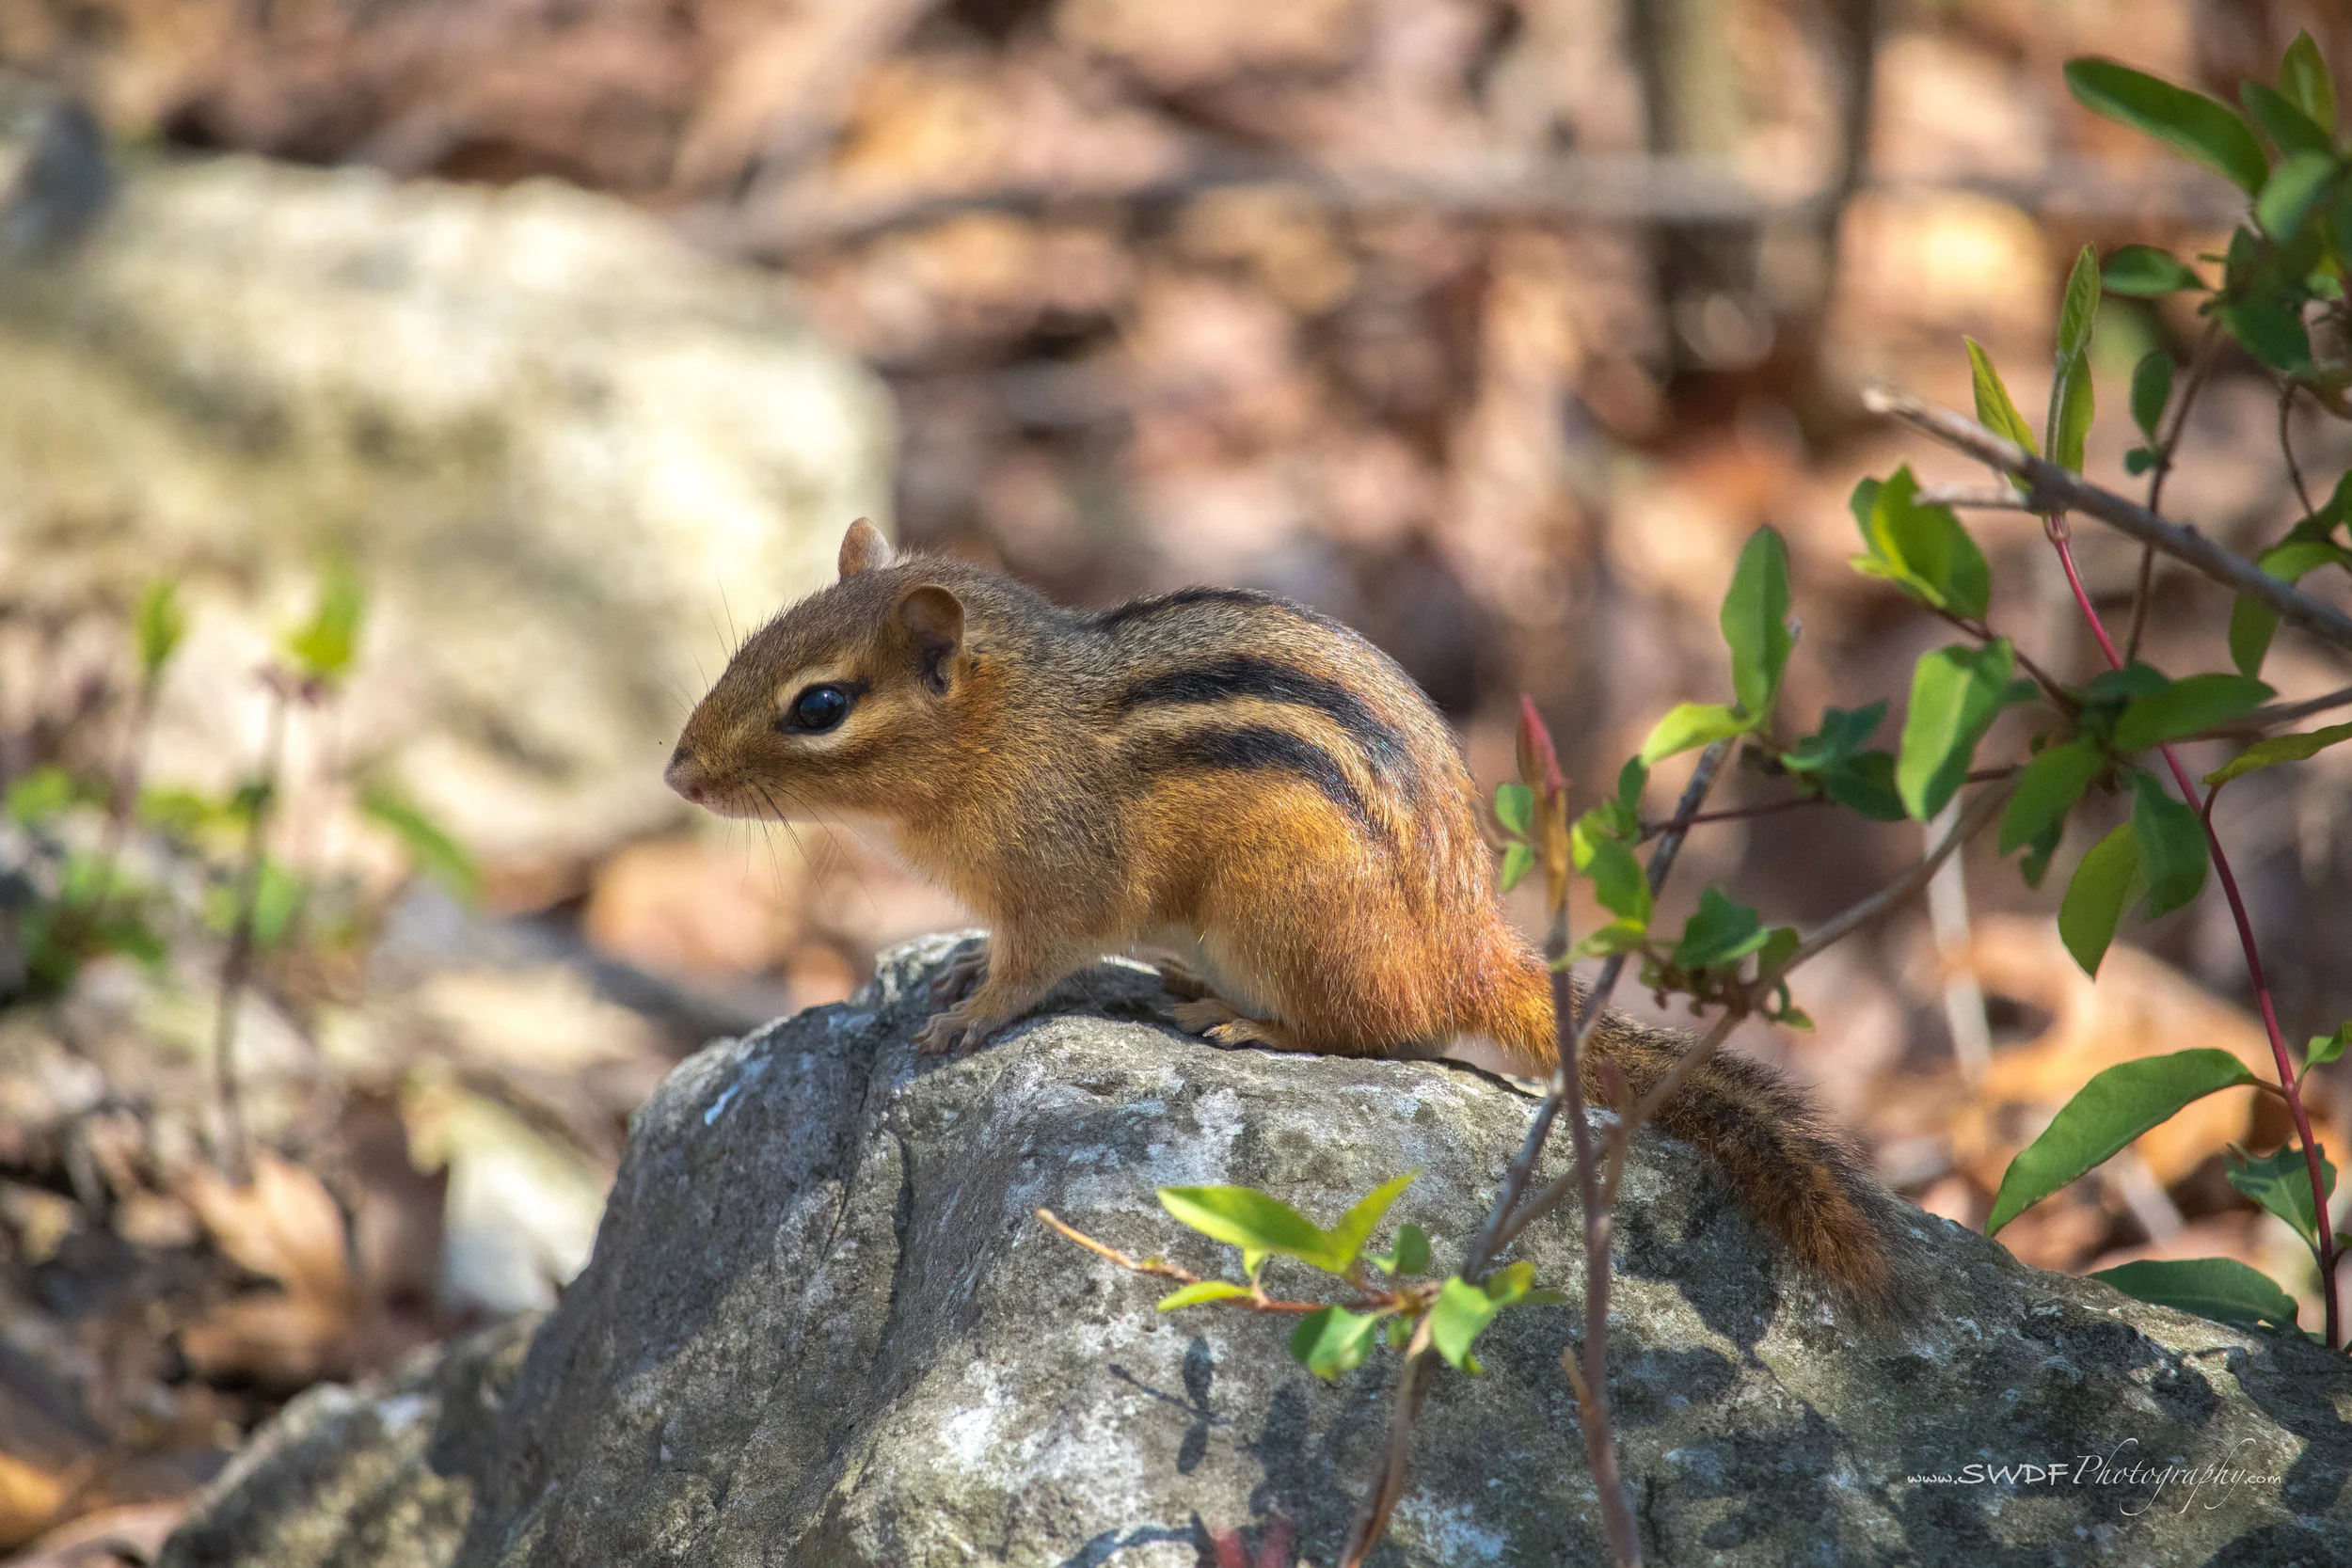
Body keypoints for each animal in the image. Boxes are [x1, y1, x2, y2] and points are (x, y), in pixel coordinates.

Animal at [667, 518, 1891, 1301]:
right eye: (749, 647)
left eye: (819, 706)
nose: (678, 773)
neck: (1010, 730)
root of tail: (1470, 943)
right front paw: (956, 969)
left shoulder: (1065, 882)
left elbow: (1038, 961)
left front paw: (971, 1013)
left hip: (1279, 908)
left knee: (1376, 1029)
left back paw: (1246, 1020)